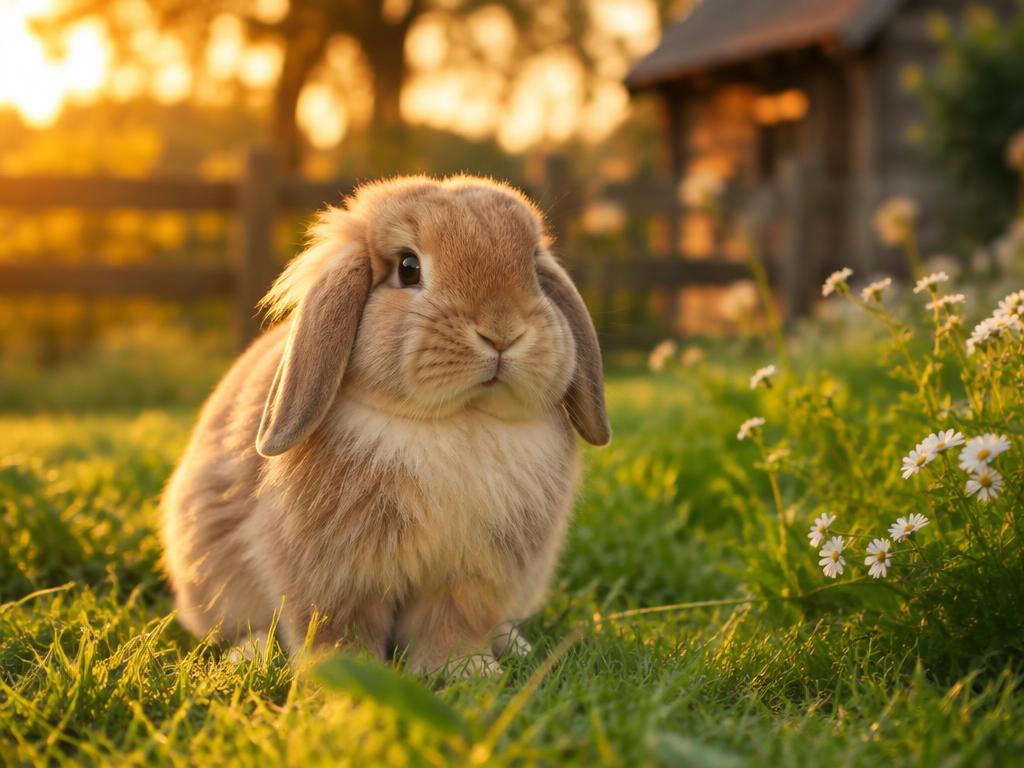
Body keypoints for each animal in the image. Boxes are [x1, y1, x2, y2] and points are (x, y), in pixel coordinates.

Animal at [160, 175, 610, 674]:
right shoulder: (338, 576)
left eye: (532, 266)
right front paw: (346, 674)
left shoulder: (471, 575)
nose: (502, 333)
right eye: (408, 268)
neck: (458, 420)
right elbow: (339, 628)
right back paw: (251, 653)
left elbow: (455, 623)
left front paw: (467, 672)